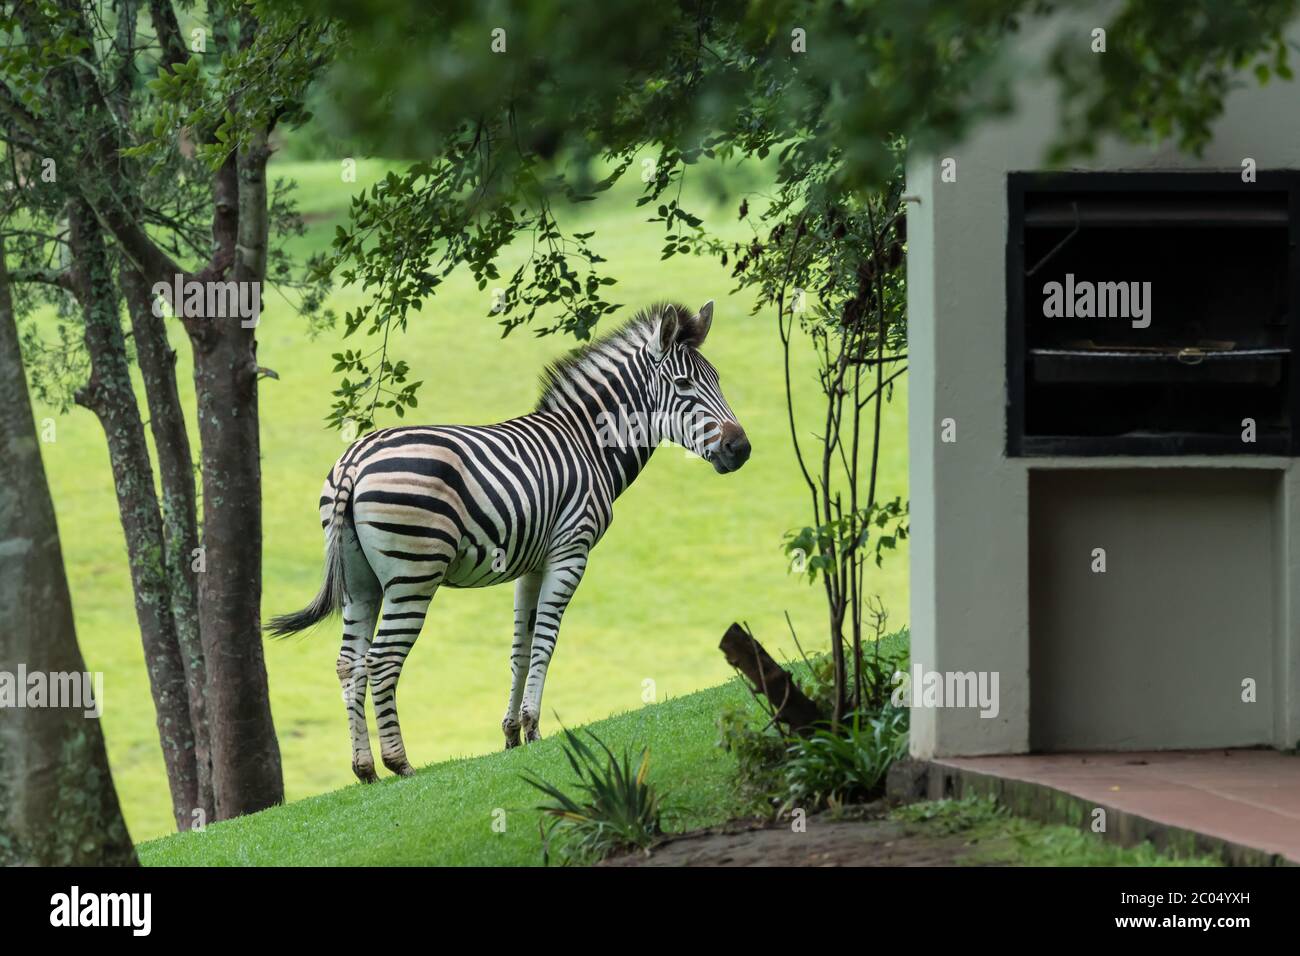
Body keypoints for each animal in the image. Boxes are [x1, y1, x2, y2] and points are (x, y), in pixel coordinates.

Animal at [268, 301, 751, 781]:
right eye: (684, 384)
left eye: (717, 378)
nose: (741, 449)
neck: (589, 445)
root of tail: (353, 460)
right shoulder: (570, 551)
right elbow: (545, 641)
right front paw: (534, 728)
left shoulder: (531, 563)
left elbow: (520, 646)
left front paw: (511, 733)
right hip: (413, 573)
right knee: (382, 660)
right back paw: (399, 763)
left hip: (359, 581)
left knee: (349, 664)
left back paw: (365, 768)